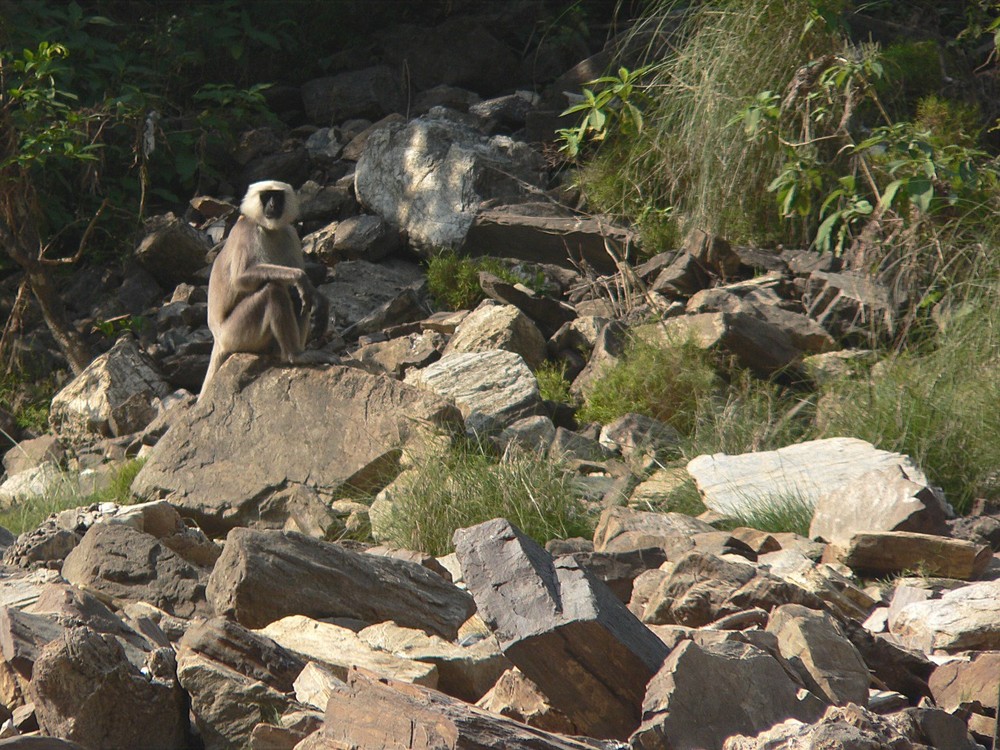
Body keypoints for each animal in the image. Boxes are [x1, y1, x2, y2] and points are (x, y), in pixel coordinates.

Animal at [199, 181, 328, 400]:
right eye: (266, 196)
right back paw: (295, 356)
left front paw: (320, 298)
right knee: (274, 289)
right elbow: (241, 279)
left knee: (295, 296)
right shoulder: (248, 230)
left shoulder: (289, 232)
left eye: (278, 196)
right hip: (235, 334)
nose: (273, 205)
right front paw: (301, 278)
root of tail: (217, 338)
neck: (269, 229)